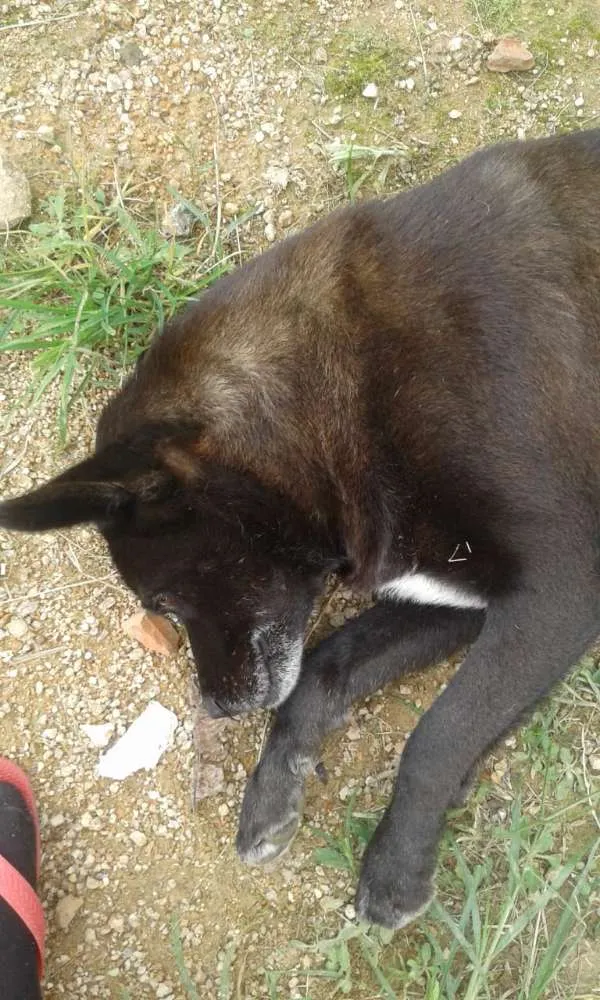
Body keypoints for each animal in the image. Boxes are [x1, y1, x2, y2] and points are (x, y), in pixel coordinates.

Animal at [1, 131, 600, 928]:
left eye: (162, 601)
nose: (216, 708)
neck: (347, 389)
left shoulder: (560, 588)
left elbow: (439, 732)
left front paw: (395, 866)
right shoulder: (455, 593)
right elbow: (323, 664)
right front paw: (270, 791)